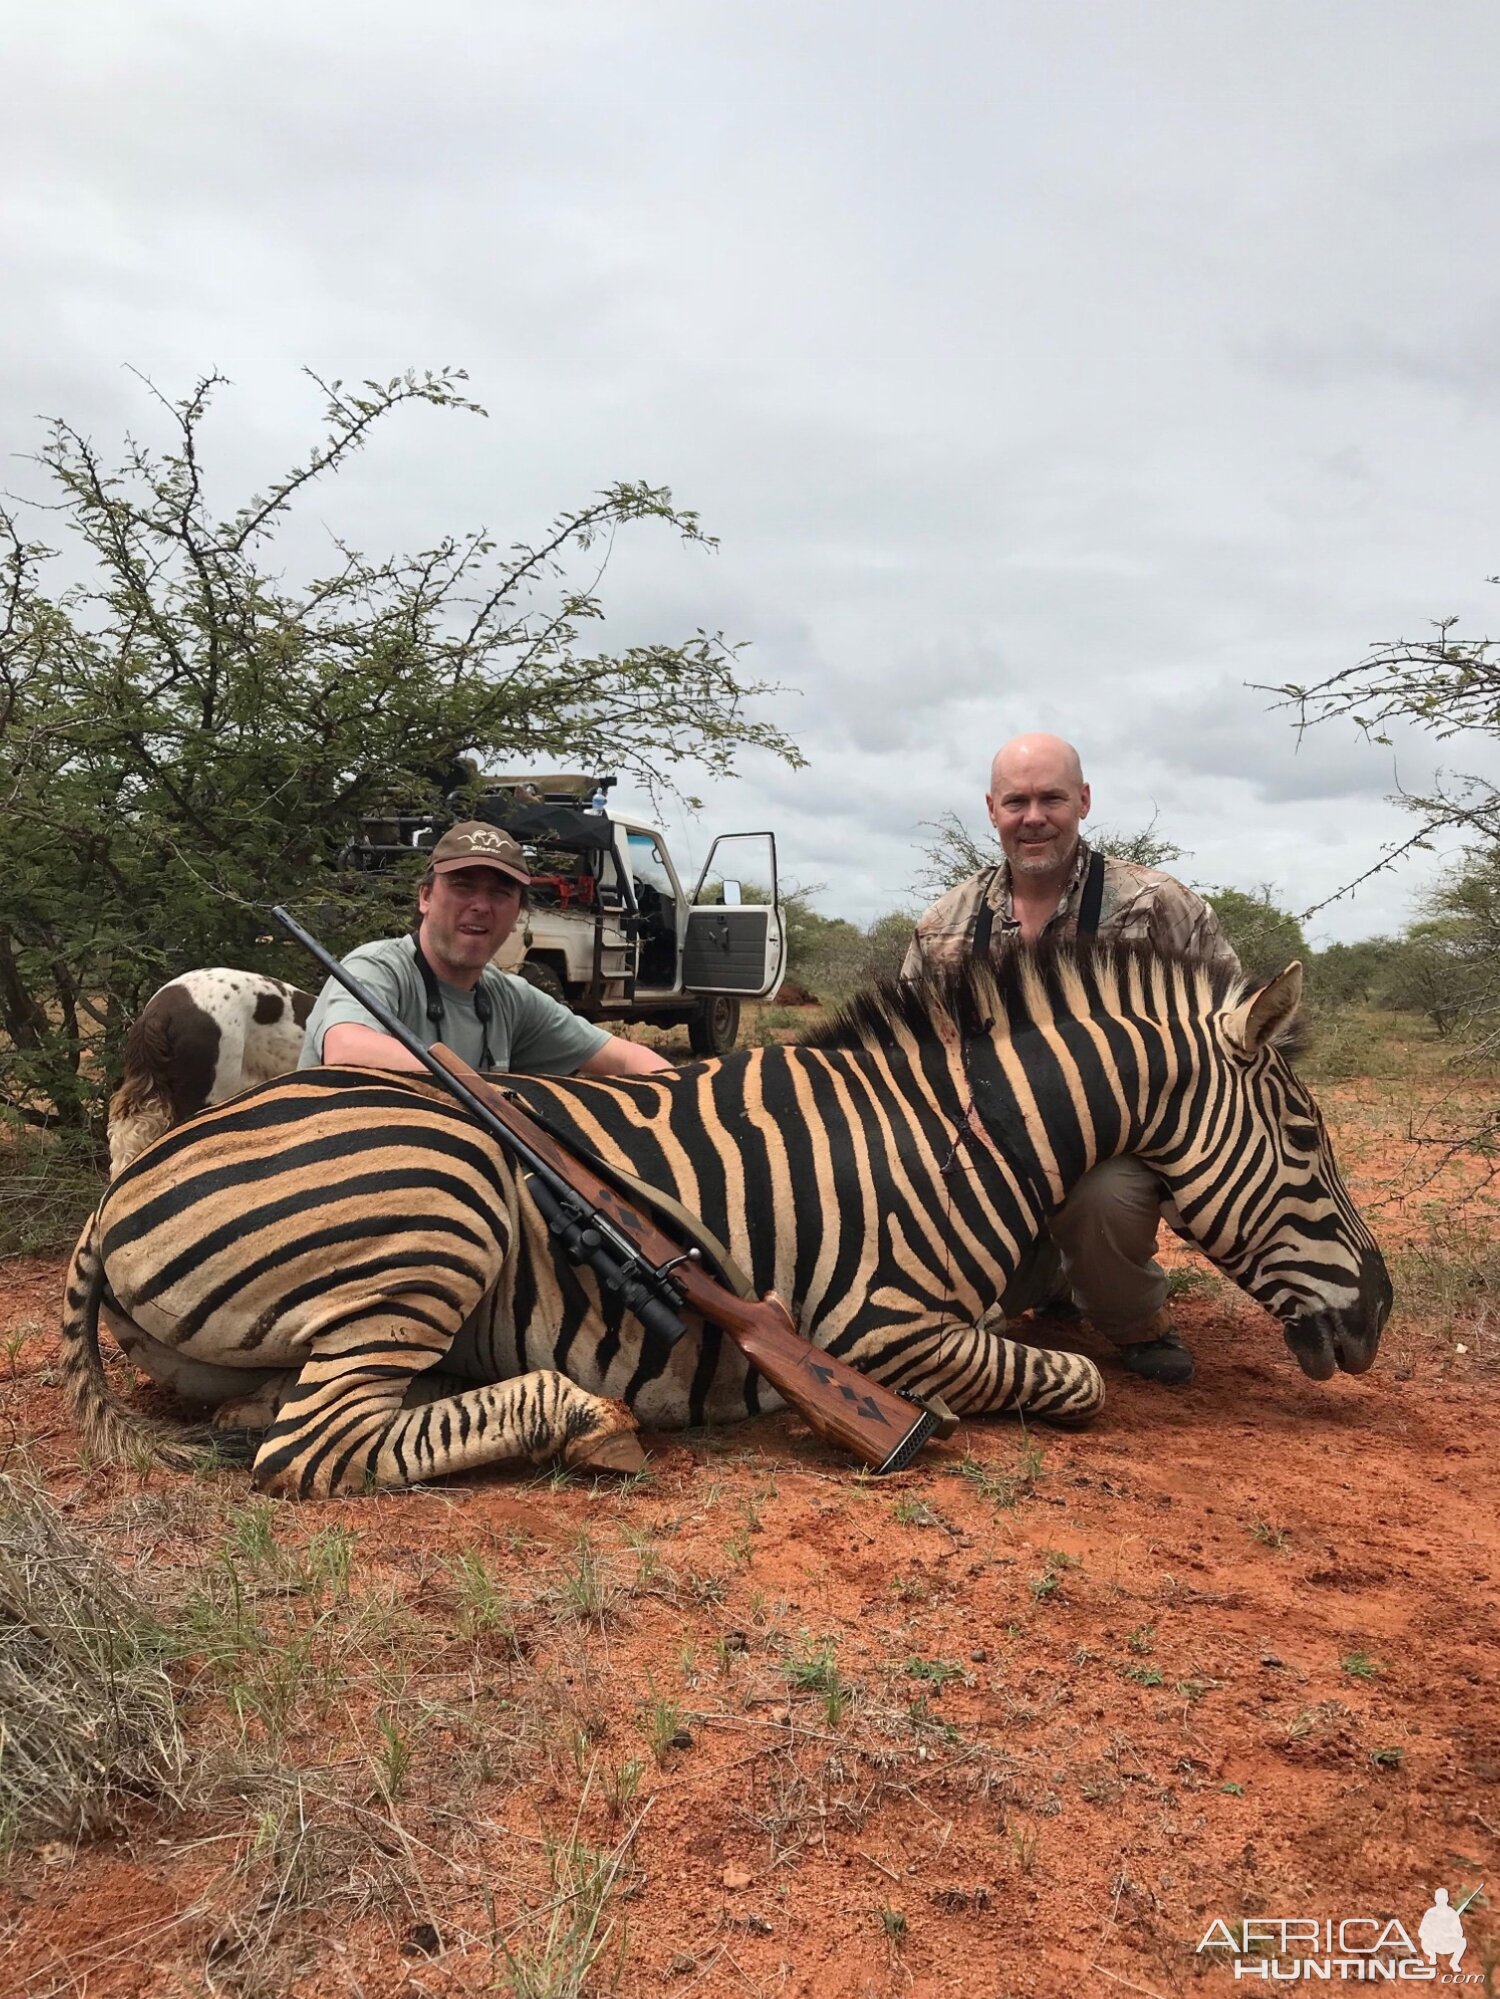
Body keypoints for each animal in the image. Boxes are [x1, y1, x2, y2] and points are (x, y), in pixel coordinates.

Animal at [61, 943, 1400, 1495]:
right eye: (1308, 1140)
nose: (1380, 1312)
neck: (959, 1134)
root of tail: (127, 1186)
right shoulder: (881, 1330)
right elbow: (1073, 1382)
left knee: (278, 1411)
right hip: (442, 1202)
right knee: (316, 1444)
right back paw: (588, 1420)